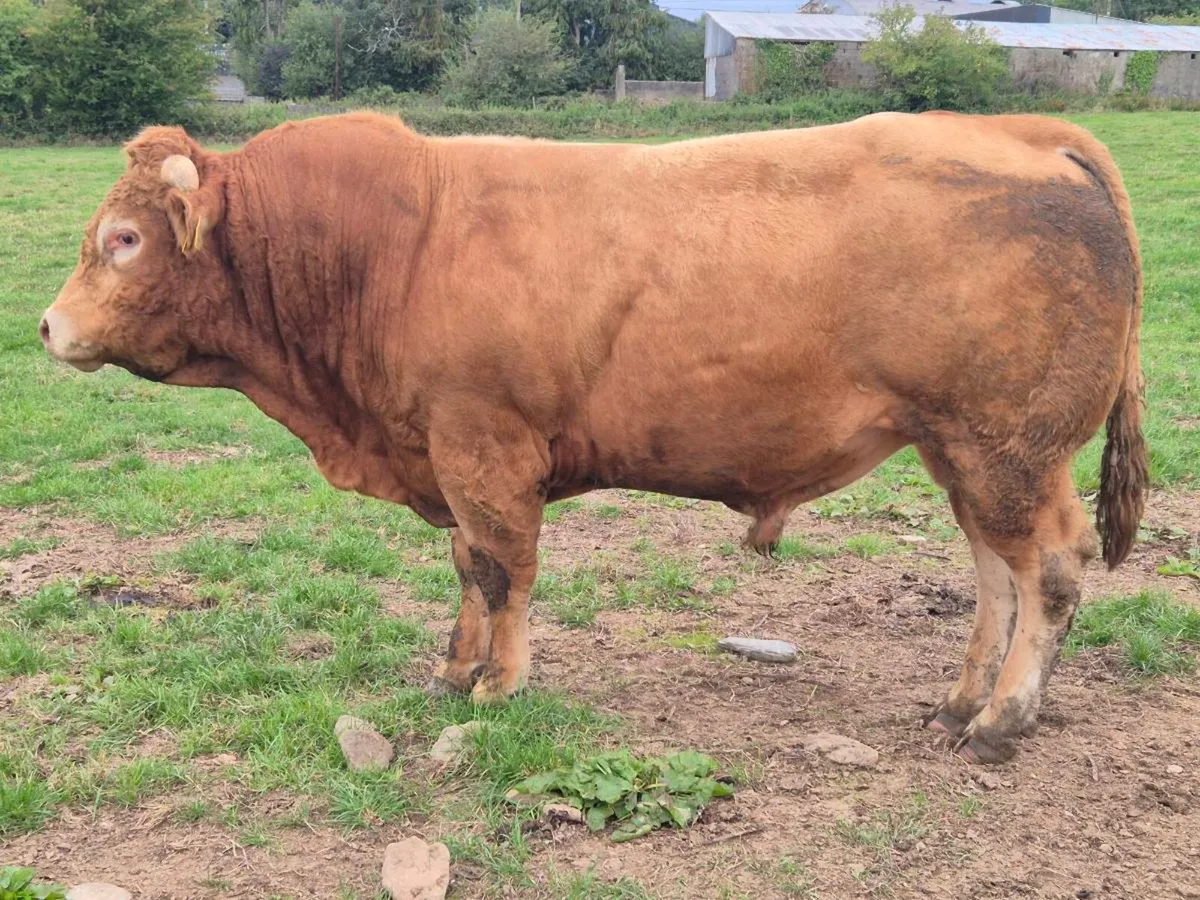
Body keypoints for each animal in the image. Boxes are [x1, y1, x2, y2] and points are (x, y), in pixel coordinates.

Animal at [40, 110, 1148, 764]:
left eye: (124, 239)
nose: (48, 327)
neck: (395, 244)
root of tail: (1023, 131)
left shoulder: (486, 449)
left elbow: (504, 570)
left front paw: (499, 685)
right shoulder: (446, 451)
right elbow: (467, 568)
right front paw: (454, 669)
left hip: (1009, 449)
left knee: (1050, 569)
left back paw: (1003, 720)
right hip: (962, 451)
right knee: (994, 573)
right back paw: (960, 703)